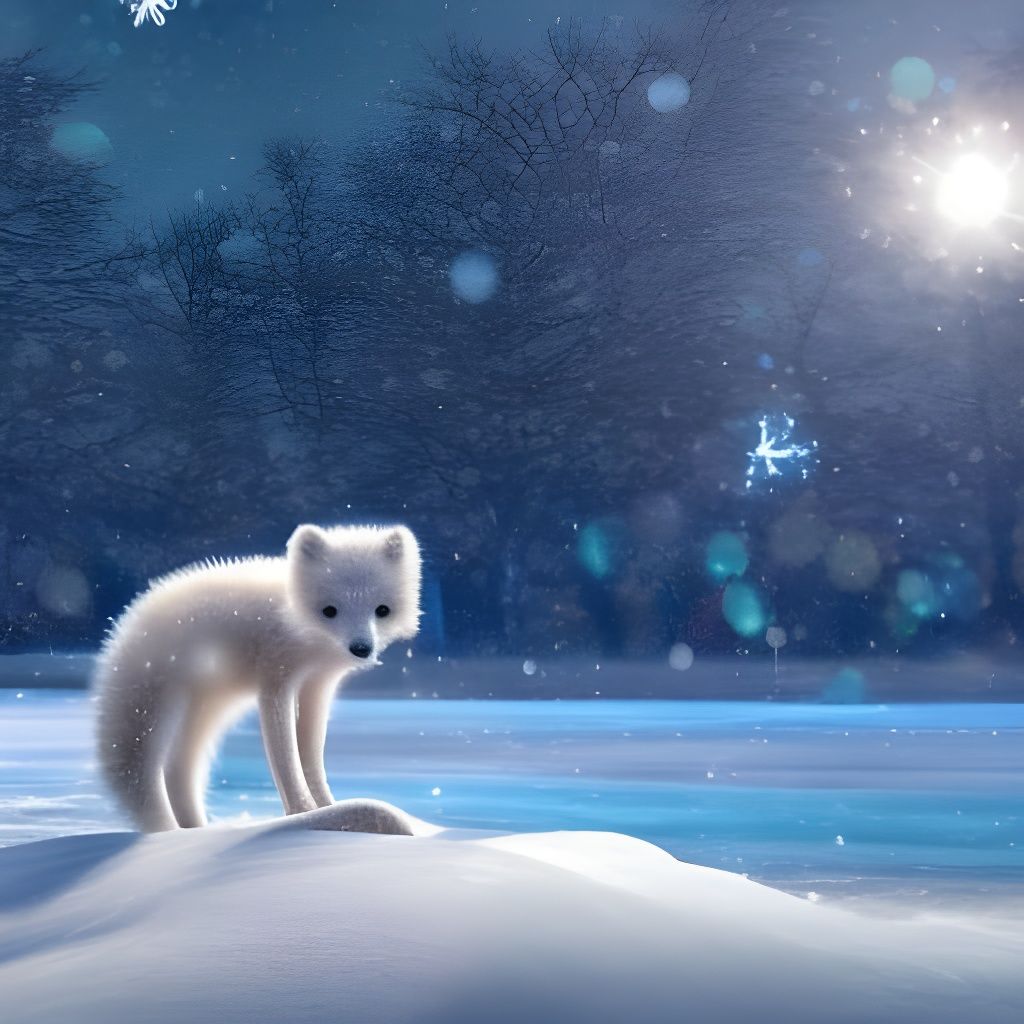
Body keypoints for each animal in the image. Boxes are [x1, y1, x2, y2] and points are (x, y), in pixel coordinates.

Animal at [94, 524, 422, 832]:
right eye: (329, 611)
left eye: (382, 610)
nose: (361, 648)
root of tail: (122, 627)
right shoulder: (276, 677)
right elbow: (286, 752)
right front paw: (303, 811)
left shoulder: (319, 683)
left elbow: (311, 749)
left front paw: (327, 805)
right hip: (152, 702)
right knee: (136, 772)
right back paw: (167, 828)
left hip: (208, 707)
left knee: (181, 769)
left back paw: (196, 827)